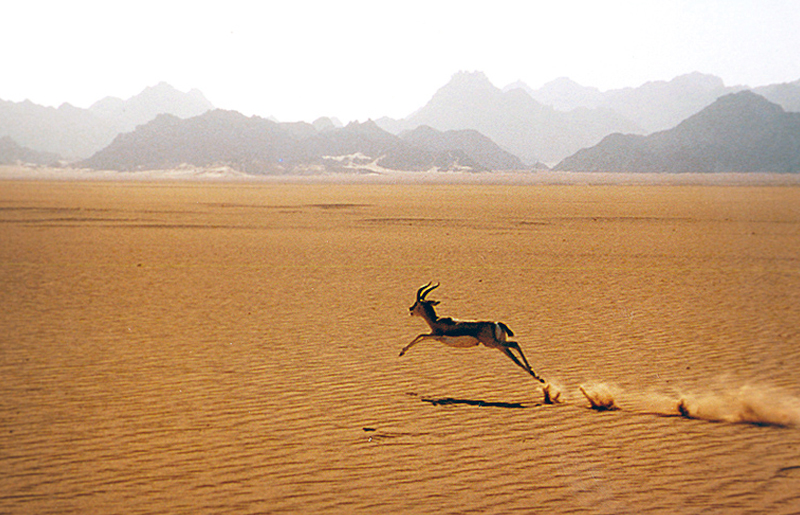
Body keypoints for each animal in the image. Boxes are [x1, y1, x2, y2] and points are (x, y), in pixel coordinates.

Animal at [401, 282, 546, 384]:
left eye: (417, 303)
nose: (410, 309)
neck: (436, 321)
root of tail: (496, 323)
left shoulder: (436, 335)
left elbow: (420, 335)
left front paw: (401, 352)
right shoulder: (434, 337)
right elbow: (421, 337)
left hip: (493, 344)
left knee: (515, 344)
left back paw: (536, 375)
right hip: (499, 345)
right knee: (515, 358)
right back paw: (538, 377)